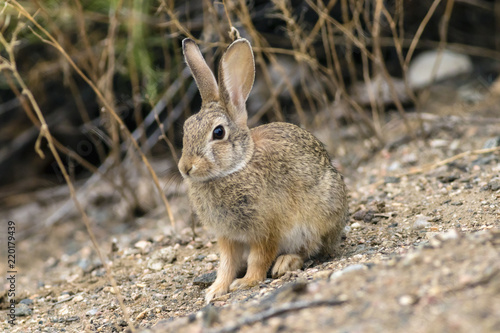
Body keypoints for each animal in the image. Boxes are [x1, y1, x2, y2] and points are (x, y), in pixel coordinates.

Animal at [179, 37, 348, 302]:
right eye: (185, 129)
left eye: (218, 132)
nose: (185, 168)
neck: (235, 167)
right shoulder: (227, 237)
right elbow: (226, 264)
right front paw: (216, 290)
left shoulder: (266, 229)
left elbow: (259, 258)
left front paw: (246, 282)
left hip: (318, 219)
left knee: (311, 249)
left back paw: (285, 263)